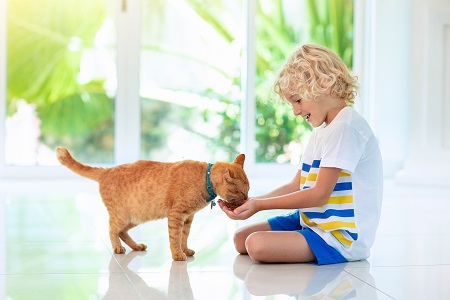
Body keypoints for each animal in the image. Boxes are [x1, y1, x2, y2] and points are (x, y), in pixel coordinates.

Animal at [55, 147, 250, 260]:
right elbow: (175, 237)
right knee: (112, 230)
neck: (204, 178)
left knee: (122, 232)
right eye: (242, 192)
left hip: (135, 218)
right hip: (121, 216)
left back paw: (136, 246)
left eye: (247, 191)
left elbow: (184, 237)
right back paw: (118, 247)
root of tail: (107, 170)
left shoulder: (188, 218)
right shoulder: (176, 215)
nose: (247, 200)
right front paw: (177, 254)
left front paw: (185, 250)